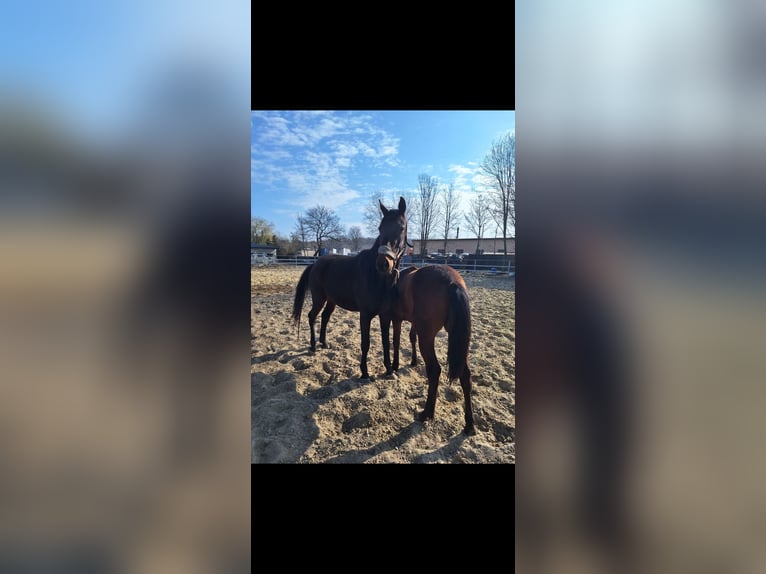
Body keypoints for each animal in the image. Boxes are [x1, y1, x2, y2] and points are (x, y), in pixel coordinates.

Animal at [292, 197, 408, 380]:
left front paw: (389, 370)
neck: (377, 277)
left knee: (324, 317)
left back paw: (324, 343)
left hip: (331, 301)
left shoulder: (385, 315)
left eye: (401, 227)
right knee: (312, 316)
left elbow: (386, 342)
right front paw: (364, 372)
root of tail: (316, 264)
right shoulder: (365, 315)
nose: (383, 264)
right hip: (319, 298)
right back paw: (313, 346)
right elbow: (365, 343)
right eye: (380, 228)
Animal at [387, 264, 476, 435]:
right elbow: (411, 337)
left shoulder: (397, 319)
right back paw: (469, 424)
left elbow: (396, 341)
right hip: (458, 340)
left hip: (427, 335)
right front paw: (413, 361)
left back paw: (427, 412)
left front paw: (395, 365)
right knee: (465, 376)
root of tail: (453, 282)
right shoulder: (414, 323)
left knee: (434, 370)